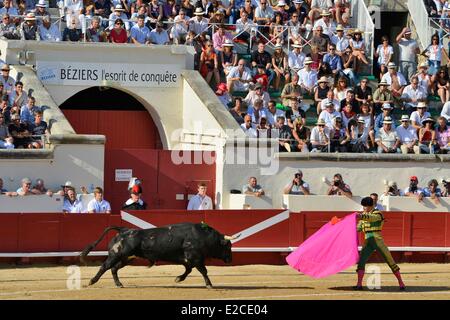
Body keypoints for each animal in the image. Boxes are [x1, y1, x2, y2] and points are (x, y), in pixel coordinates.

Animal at [79, 222, 241, 288]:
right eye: (228, 246)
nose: (230, 259)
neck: (203, 236)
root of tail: (124, 230)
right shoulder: (195, 258)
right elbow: (204, 271)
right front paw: (209, 285)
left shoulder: (187, 260)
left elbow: (188, 271)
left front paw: (178, 279)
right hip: (116, 255)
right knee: (105, 266)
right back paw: (91, 281)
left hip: (127, 258)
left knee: (113, 269)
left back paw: (119, 284)